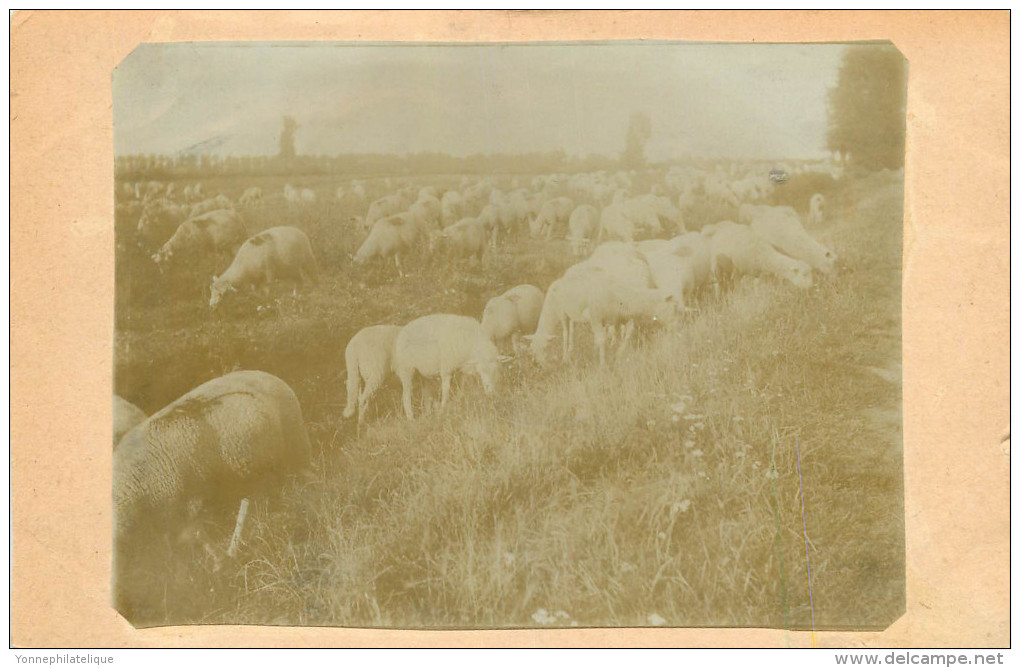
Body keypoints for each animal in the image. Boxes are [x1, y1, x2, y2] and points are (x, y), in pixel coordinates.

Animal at [114, 371, 312, 620]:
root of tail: (269, 375)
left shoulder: (187, 504)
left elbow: (198, 537)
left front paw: (216, 567)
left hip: (295, 442)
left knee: (306, 477)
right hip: (255, 465)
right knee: (254, 499)